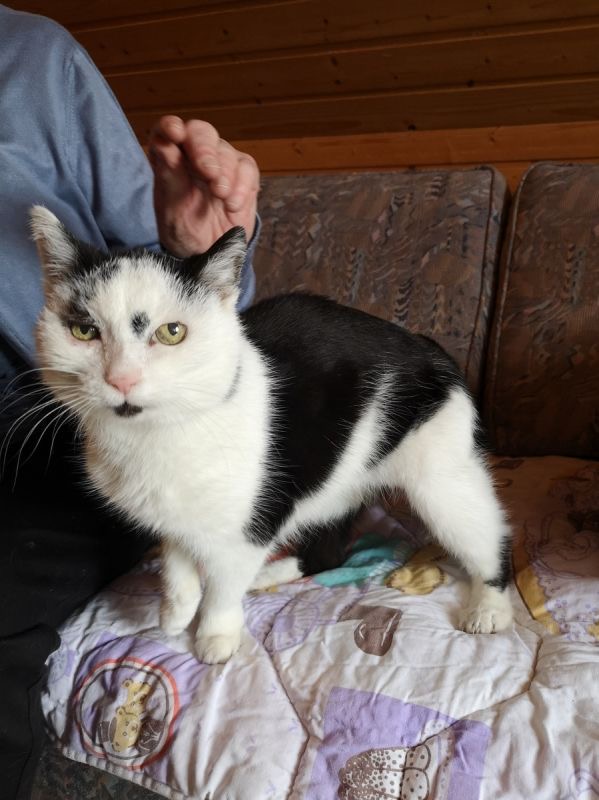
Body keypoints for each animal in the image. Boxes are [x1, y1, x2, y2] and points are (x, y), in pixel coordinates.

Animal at [31, 205, 513, 664]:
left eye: (171, 332)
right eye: (83, 330)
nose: (122, 379)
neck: (155, 437)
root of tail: (429, 347)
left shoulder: (256, 519)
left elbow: (224, 582)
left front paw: (215, 632)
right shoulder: (174, 514)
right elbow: (176, 556)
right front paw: (178, 608)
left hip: (439, 473)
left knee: (485, 532)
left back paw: (489, 604)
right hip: (339, 479)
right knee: (328, 554)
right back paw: (269, 574)